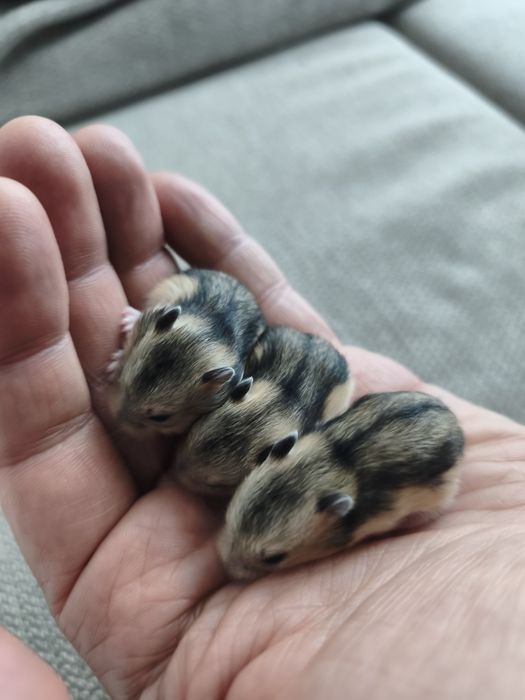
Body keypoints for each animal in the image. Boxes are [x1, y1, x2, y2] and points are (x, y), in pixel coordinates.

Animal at [110, 268, 265, 434]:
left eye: (160, 418)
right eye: (125, 383)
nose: (115, 422)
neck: (206, 337)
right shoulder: (147, 322)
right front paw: (111, 369)